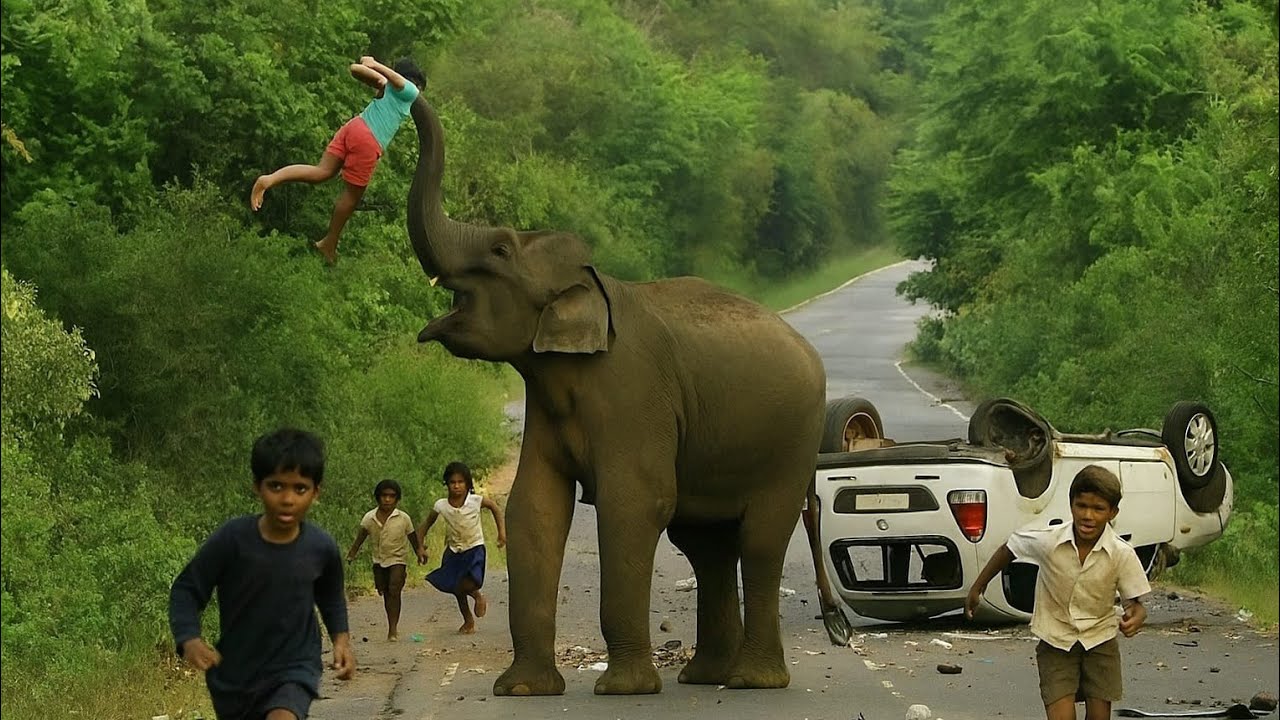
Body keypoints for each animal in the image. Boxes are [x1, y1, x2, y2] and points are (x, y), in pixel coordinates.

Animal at [405, 95, 849, 696]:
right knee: (706, 546)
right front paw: (522, 690)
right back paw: (706, 677)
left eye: (499, 248)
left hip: (791, 443)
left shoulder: (632, 394)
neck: (594, 284)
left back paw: (751, 682)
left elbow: (634, 502)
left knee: (758, 540)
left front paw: (622, 689)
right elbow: (534, 507)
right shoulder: (545, 402)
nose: (395, 79)